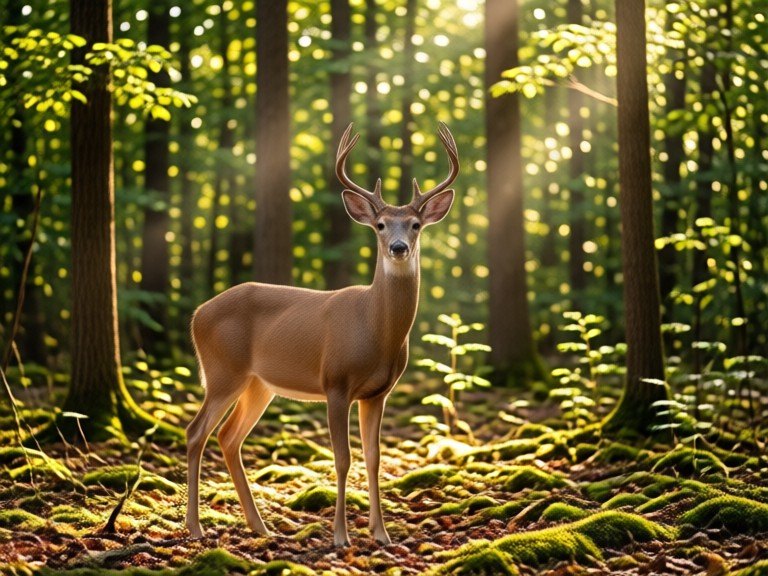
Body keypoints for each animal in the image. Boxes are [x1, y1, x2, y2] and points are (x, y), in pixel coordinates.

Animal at [185, 122, 459, 546]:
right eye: (381, 225)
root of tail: (197, 314)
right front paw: (341, 536)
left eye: (415, 225)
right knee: (195, 432)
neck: (374, 329)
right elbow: (342, 459)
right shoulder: (336, 382)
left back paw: (259, 526)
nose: (398, 247)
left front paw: (381, 535)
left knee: (229, 437)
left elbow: (374, 458)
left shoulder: (378, 392)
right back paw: (196, 527)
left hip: (258, 383)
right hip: (222, 372)